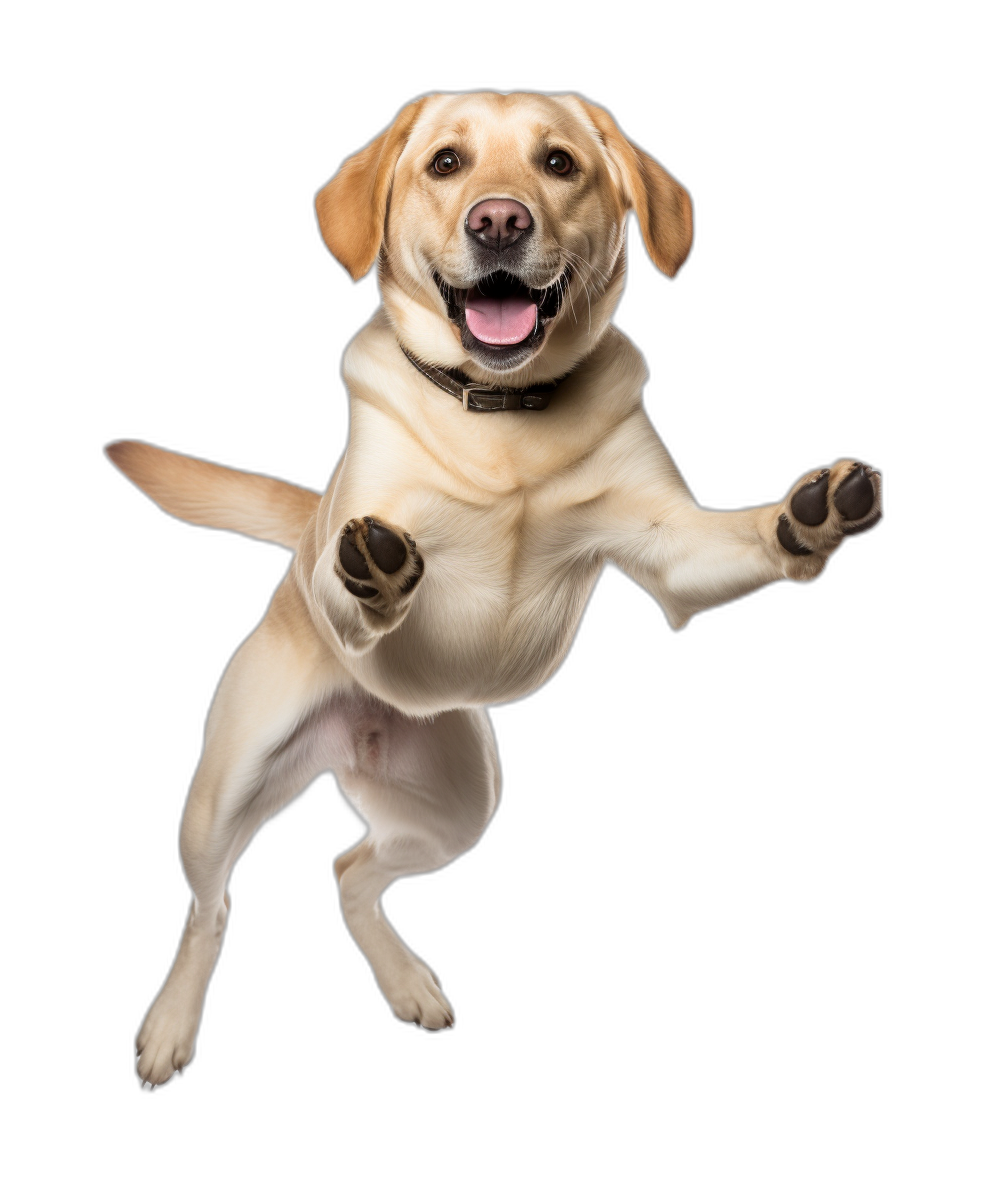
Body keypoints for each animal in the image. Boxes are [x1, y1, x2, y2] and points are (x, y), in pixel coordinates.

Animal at [104, 94, 881, 1089]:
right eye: (445, 163)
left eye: (558, 163)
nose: (500, 221)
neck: (505, 417)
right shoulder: (359, 534)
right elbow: (358, 574)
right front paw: (375, 574)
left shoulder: (670, 550)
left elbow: (739, 538)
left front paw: (807, 518)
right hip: (221, 794)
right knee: (211, 908)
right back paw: (170, 1027)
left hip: (456, 809)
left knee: (350, 871)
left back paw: (406, 982)